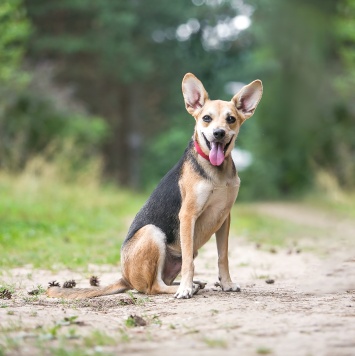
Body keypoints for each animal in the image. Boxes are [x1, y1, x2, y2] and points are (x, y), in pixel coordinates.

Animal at [47, 73, 262, 298]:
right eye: (206, 118)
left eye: (231, 119)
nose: (219, 133)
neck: (216, 171)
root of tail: (125, 277)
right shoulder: (188, 215)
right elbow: (188, 263)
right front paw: (186, 289)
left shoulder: (224, 217)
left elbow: (223, 257)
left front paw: (227, 283)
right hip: (152, 232)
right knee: (153, 287)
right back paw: (185, 287)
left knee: (165, 280)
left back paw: (194, 284)